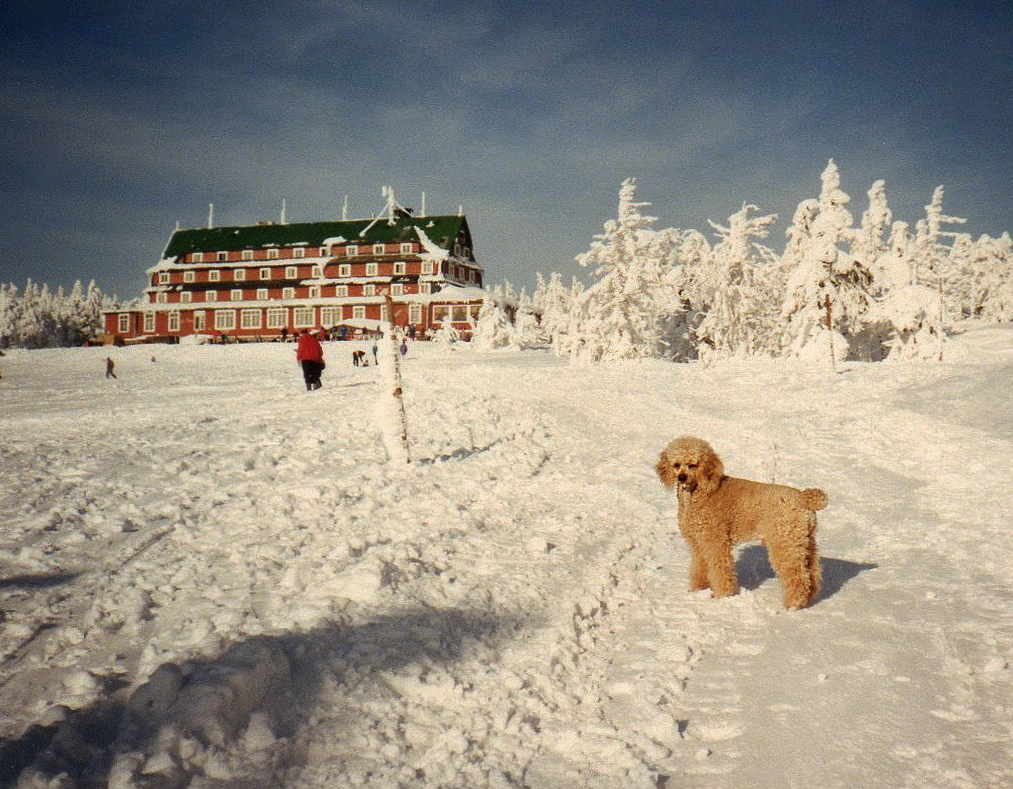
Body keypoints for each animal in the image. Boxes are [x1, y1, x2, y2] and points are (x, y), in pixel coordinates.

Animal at [660, 437, 826, 611]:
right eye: (676, 465)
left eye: (693, 465)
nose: (682, 477)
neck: (699, 492)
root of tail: (804, 499)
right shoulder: (697, 543)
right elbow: (700, 566)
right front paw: (698, 588)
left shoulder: (715, 541)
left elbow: (721, 569)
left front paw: (722, 595)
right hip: (805, 541)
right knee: (812, 573)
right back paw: (807, 600)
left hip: (784, 541)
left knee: (798, 577)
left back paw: (792, 604)